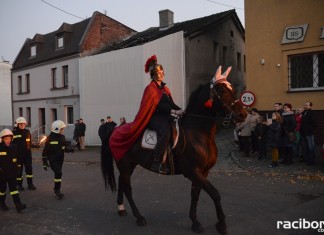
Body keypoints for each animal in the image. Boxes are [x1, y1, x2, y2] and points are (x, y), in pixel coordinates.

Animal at [101, 66, 246, 235]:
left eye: (233, 89)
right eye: (222, 90)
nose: (242, 115)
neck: (197, 133)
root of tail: (115, 129)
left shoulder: (202, 172)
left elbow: (195, 195)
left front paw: (195, 222)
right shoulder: (193, 171)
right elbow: (215, 194)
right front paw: (221, 224)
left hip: (129, 165)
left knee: (122, 183)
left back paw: (121, 208)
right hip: (124, 164)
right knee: (128, 188)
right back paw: (139, 217)